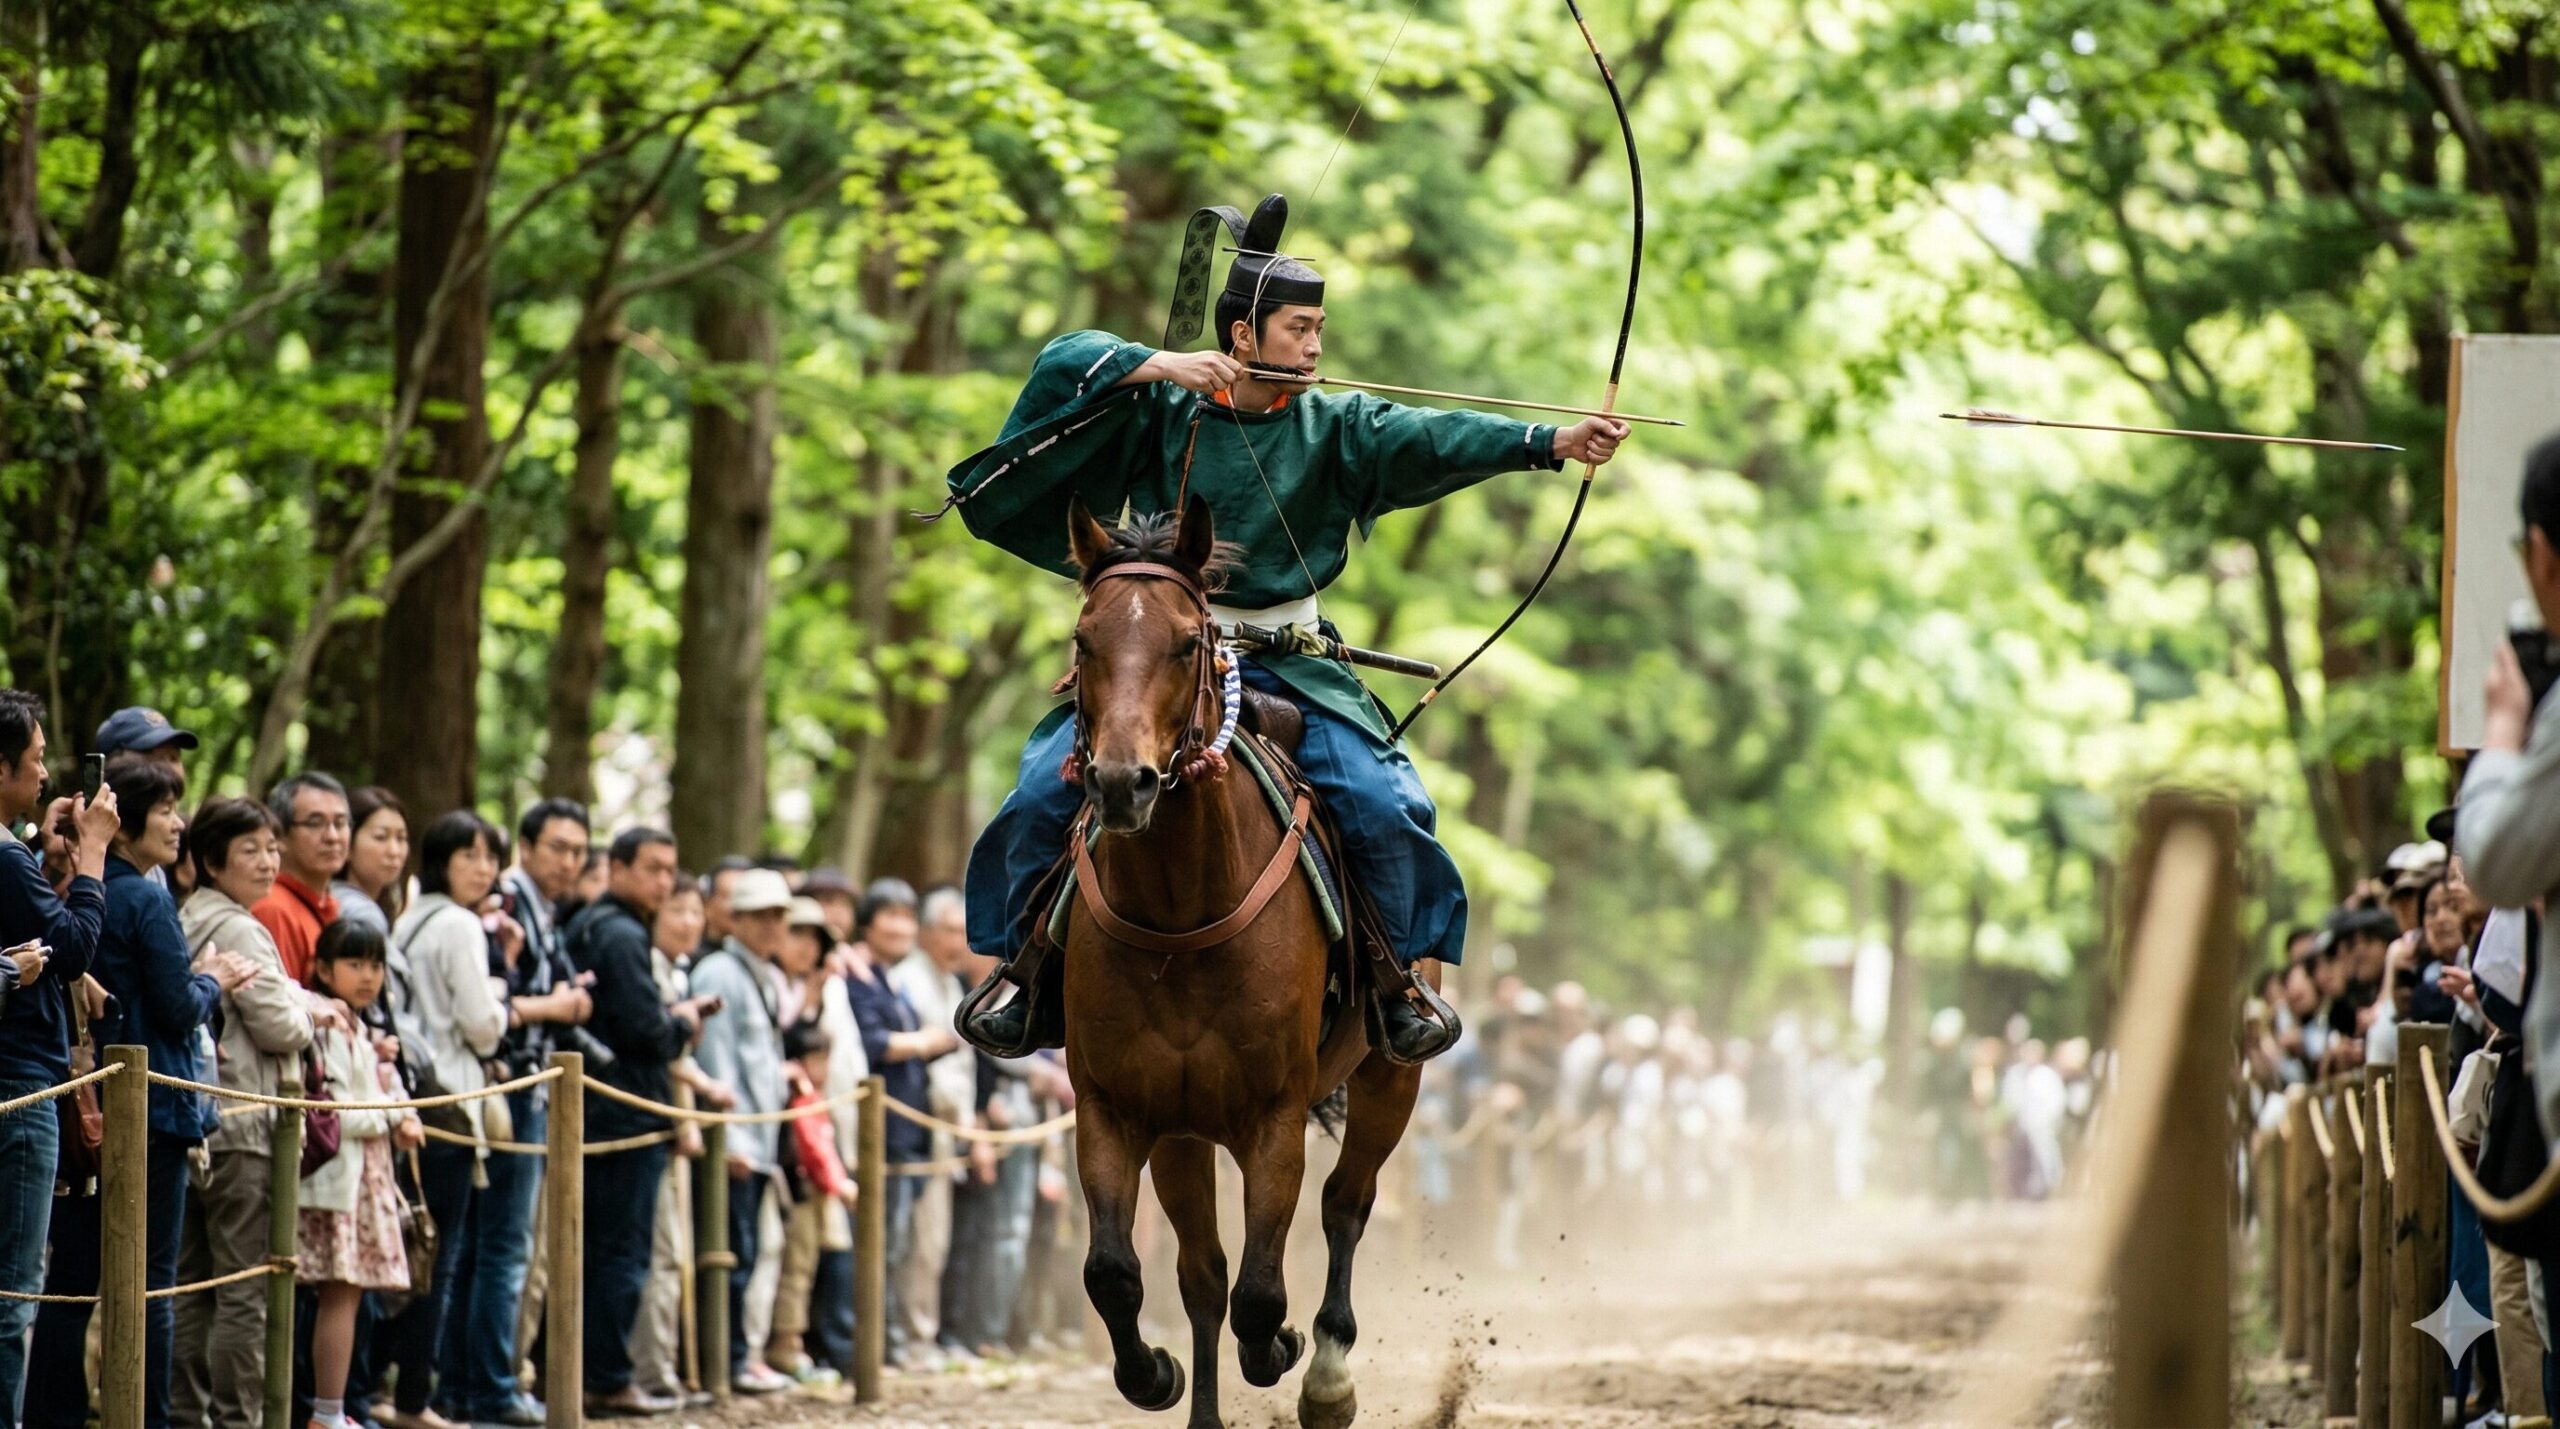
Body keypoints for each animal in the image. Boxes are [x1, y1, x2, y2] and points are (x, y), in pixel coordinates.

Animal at [1056, 493, 1425, 1429]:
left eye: (1189, 641)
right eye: (1083, 639)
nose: (1122, 783)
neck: (1180, 915)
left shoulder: (1273, 1115)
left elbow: (1263, 1293)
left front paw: (1288, 1350)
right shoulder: (1115, 1107)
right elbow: (1117, 1272)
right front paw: (1152, 1374)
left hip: (1389, 1076)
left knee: (1345, 1205)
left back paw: (1326, 1373)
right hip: (1184, 1130)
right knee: (1201, 1273)